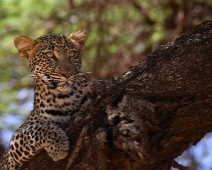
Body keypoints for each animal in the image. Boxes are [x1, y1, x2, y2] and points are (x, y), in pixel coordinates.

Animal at [0, 28, 94, 169]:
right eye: (50, 55)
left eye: (72, 53)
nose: (68, 74)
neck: (65, 98)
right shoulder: (14, 146)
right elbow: (37, 129)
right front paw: (58, 146)